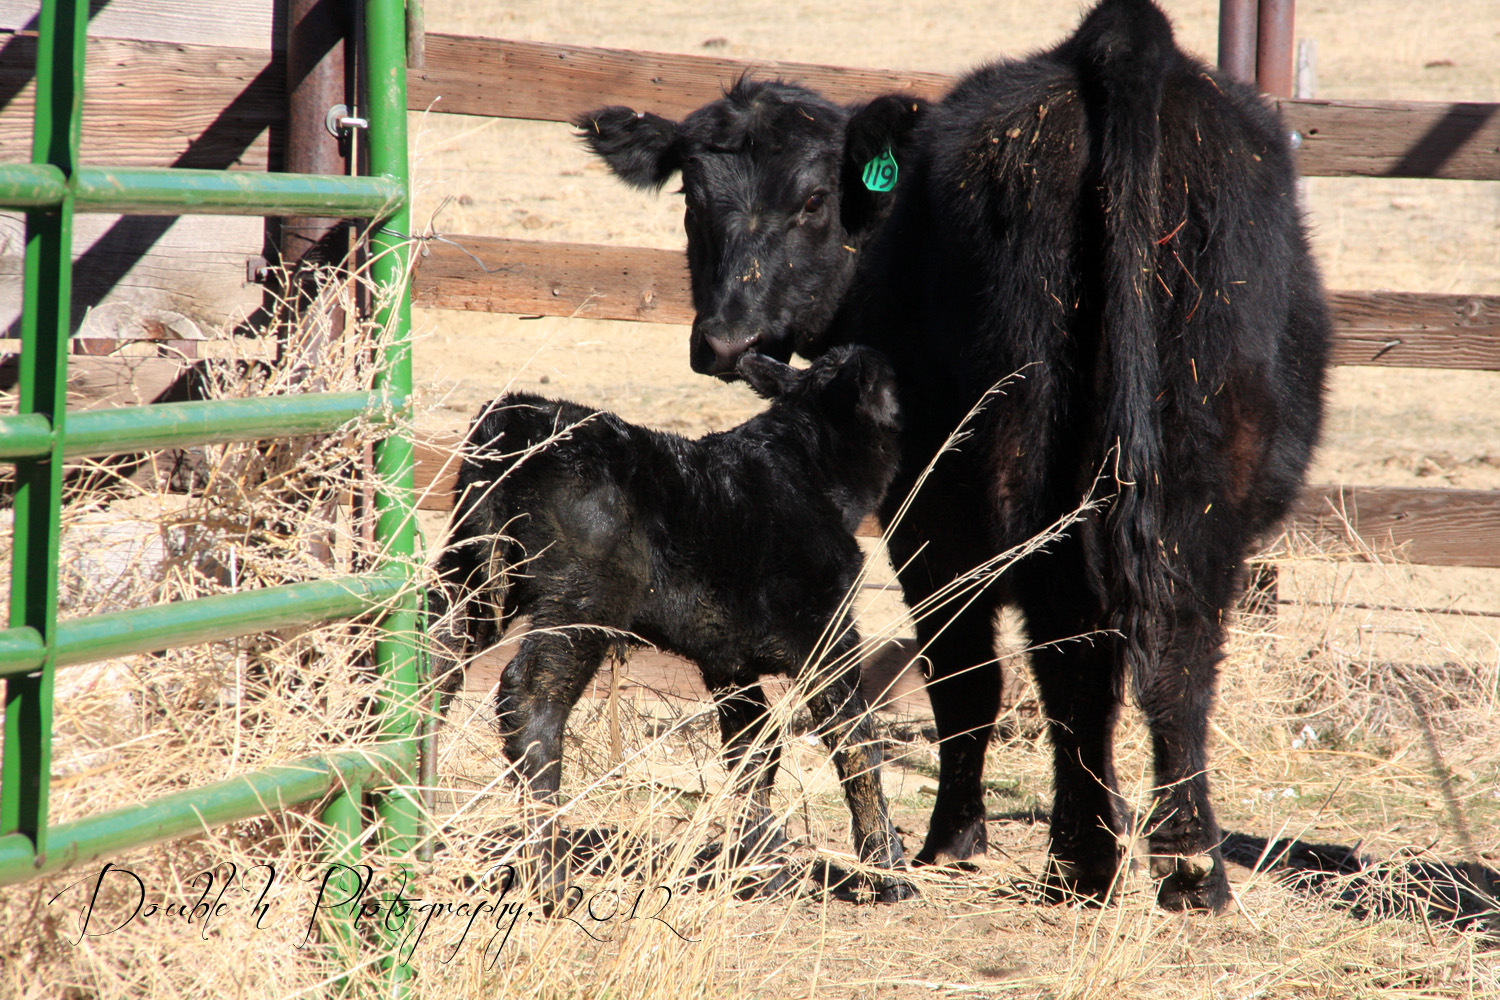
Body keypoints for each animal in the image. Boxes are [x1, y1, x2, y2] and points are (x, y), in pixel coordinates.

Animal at [428, 345, 915, 903]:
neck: (808, 473)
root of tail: (515, 418)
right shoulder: (828, 637)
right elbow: (857, 744)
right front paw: (887, 869)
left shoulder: (728, 662)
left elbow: (752, 752)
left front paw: (761, 868)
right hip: (583, 601)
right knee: (531, 698)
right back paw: (549, 877)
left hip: (469, 575)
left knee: (430, 663)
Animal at [577, 0, 1330, 911]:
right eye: (692, 194)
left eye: (814, 200)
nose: (725, 340)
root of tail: (1116, 46)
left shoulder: (923, 514)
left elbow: (963, 674)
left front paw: (953, 838)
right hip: (1204, 471)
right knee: (1177, 654)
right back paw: (1189, 868)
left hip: (1018, 479)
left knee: (1067, 659)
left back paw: (1083, 861)